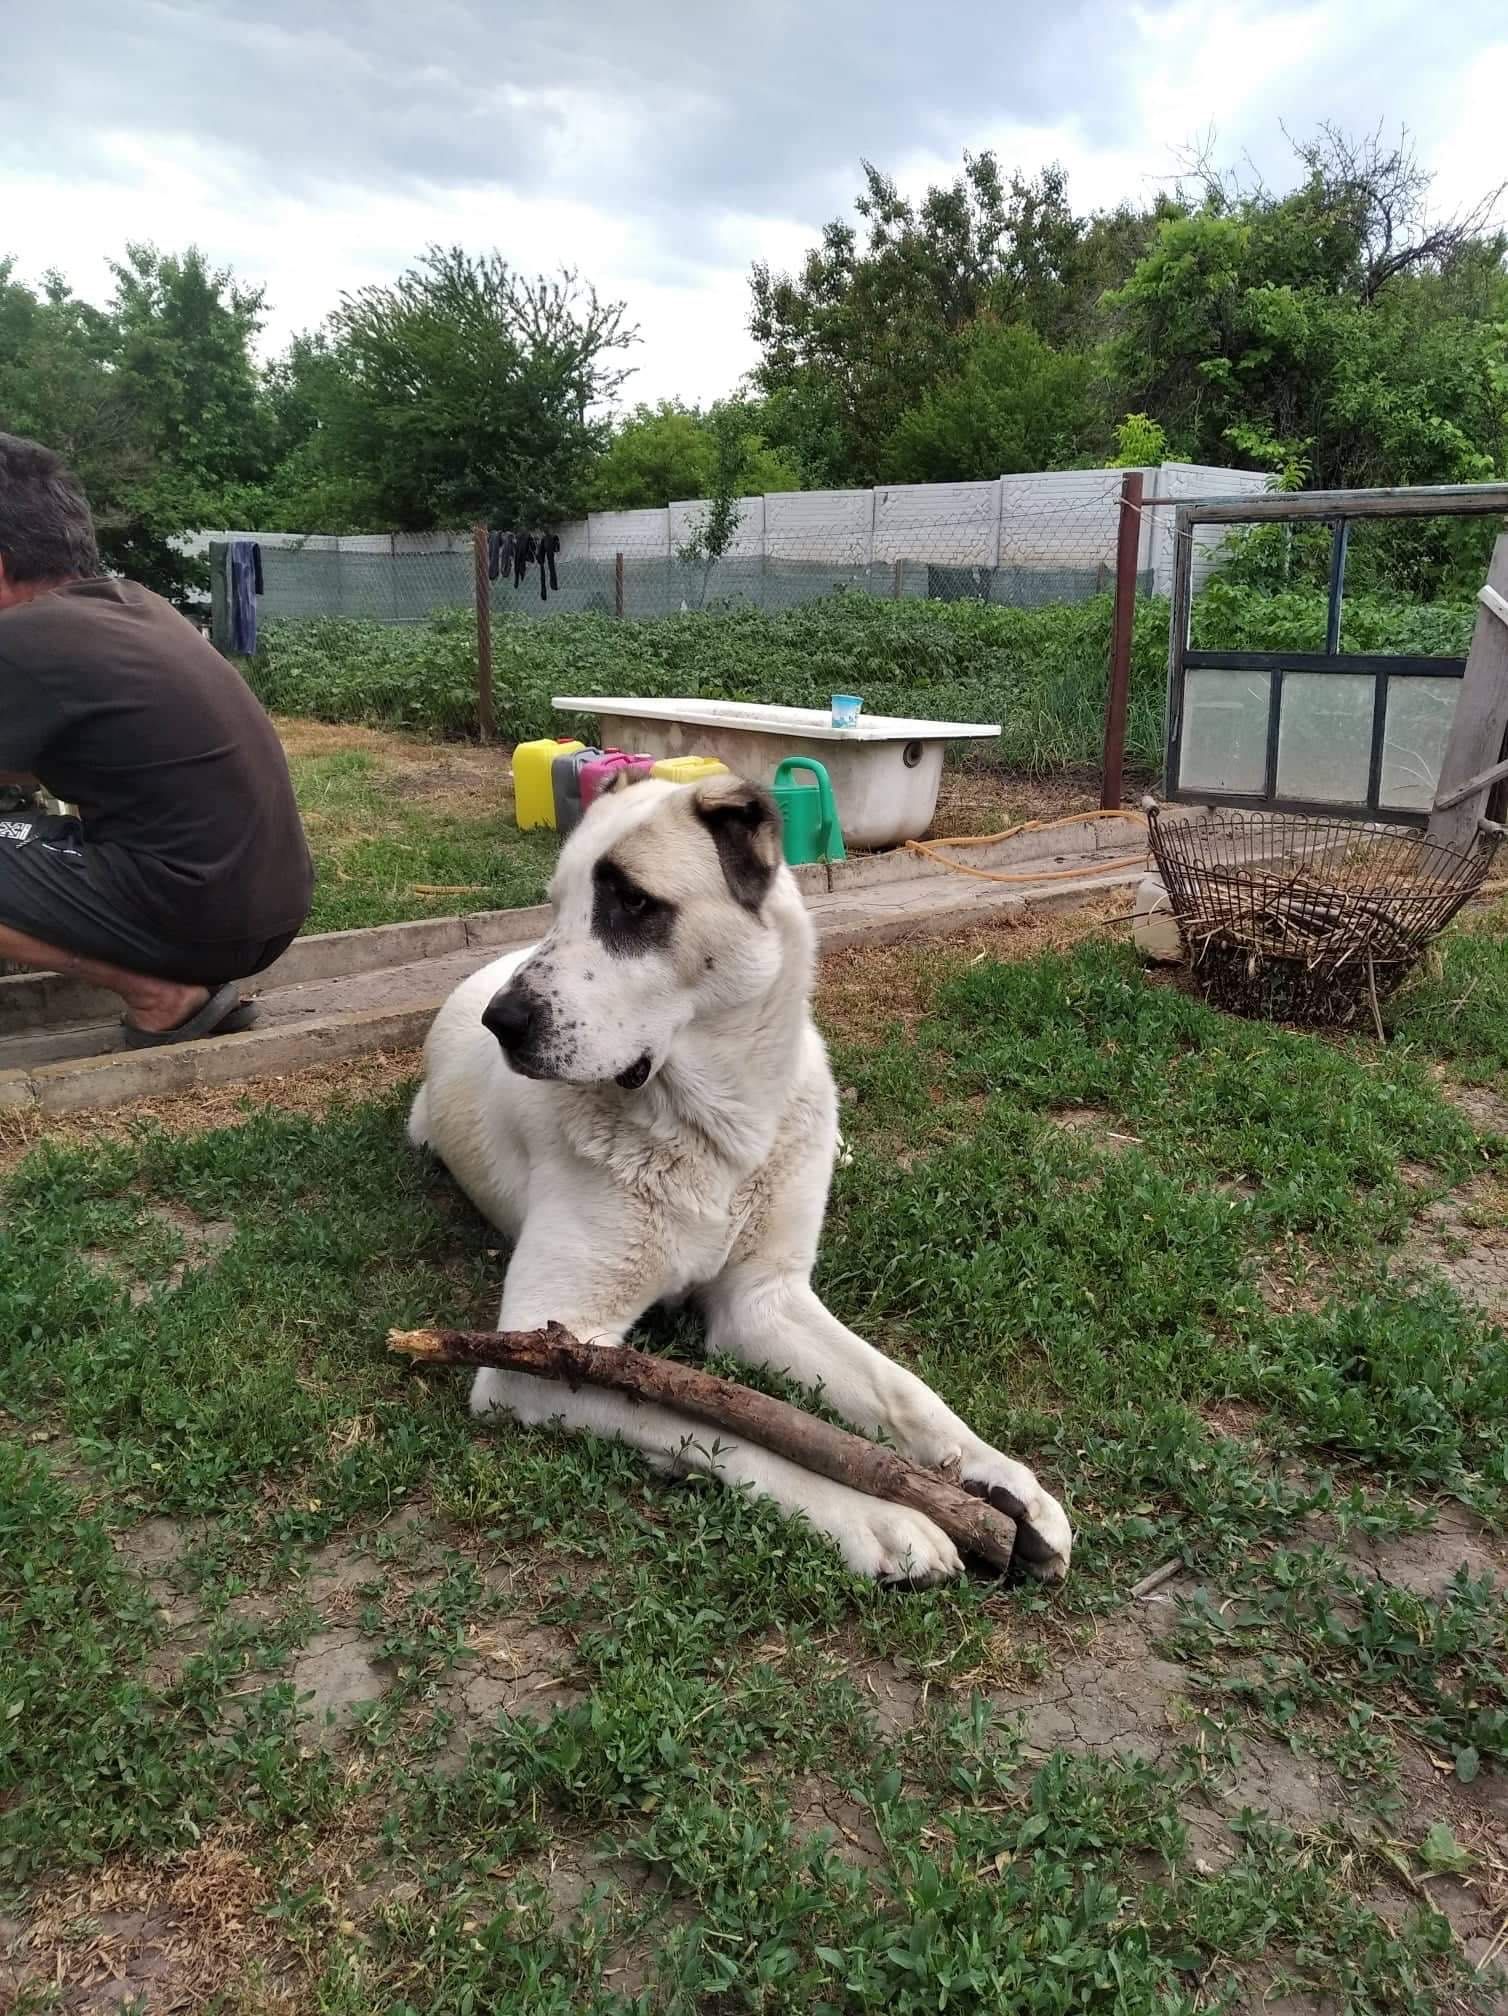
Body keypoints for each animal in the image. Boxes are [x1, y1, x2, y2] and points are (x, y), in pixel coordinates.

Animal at [409, 770, 1072, 1588]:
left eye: (632, 902)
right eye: (556, 905)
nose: (501, 1024)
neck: (719, 1128)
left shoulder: (766, 1301)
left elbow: (903, 1391)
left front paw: (1002, 1481)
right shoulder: (543, 1351)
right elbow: (724, 1420)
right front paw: (877, 1514)